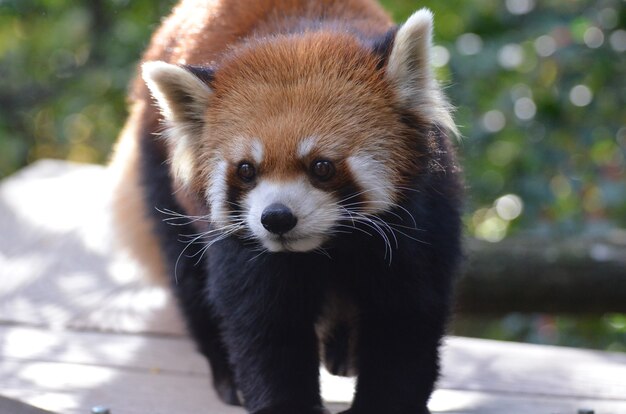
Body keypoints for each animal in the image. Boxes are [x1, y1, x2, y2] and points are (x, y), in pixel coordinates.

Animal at [109, 0, 460, 414]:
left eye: (322, 167)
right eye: (246, 170)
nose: (276, 218)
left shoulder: (420, 222)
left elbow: (405, 318)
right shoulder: (245, 249)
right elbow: (265, 325)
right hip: (162, 181)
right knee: (189, 276)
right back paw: (226, 372)